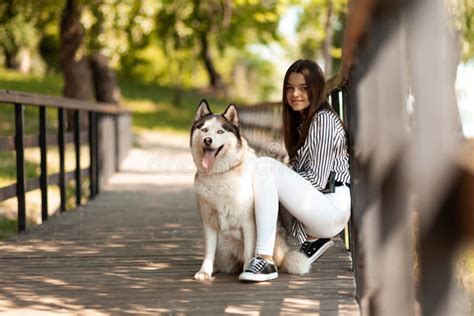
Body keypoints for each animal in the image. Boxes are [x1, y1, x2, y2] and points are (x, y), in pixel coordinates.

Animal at [191, 99, 310, 282]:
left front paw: (249, 269)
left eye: (220, 131)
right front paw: (205, 271)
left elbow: (249, 251)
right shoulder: (209, 222)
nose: (207, 140)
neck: (221, 173)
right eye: (204, 130)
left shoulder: (248, 223)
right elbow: (208, 252)